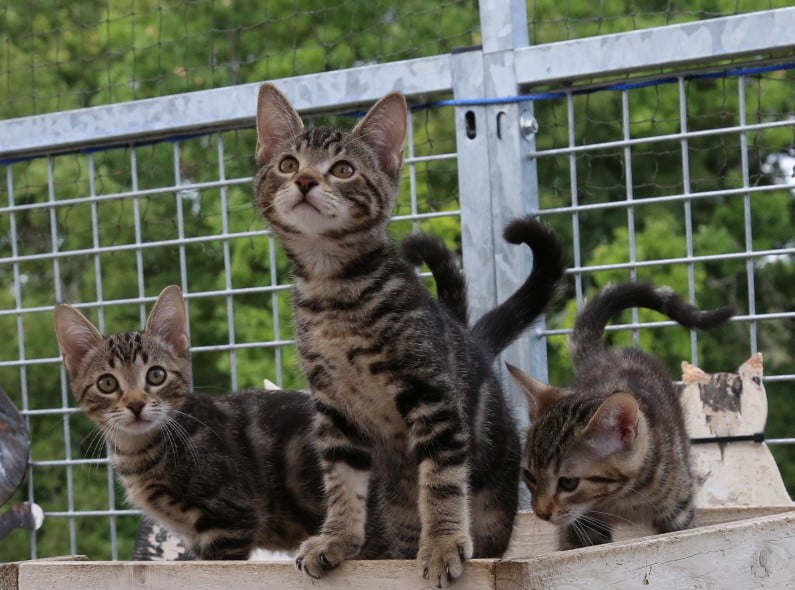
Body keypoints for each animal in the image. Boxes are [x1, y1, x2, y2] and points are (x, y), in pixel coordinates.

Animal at [54, 286, 324, 560]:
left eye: (156, 375)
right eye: (107, 383)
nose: (136, 404)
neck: (140, 450)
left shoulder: (233, 521)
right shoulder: (196, 538)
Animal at [255, 84, 564, 588]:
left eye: (343, 169)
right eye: (287, 163)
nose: (304, 181)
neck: (334, 293)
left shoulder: (430, 394)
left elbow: (440, 479)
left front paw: (442, 544)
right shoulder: (334, 410)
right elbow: (341, 482)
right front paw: (336, 539)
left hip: (493, 502)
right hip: (397, 506)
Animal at [506, 284, 736, 552]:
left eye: (568, 483)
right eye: (530, 476)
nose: (541, 513)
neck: (622, 497)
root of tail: (603, 356)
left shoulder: (679, 511)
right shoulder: (581, 527)